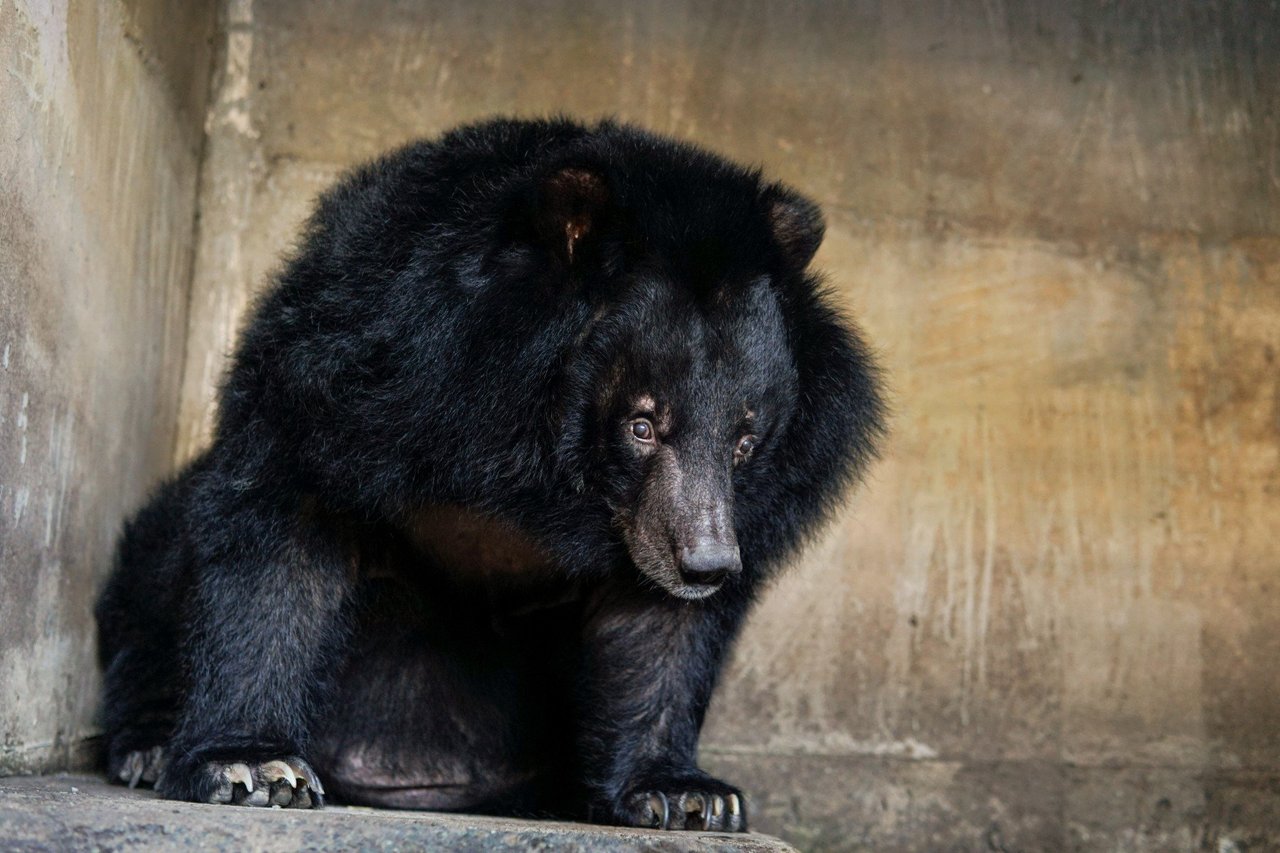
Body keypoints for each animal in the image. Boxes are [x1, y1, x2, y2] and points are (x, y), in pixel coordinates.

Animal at [97, 116, 880, 824]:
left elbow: (658, 628)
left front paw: (687, 794)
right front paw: (253, 768)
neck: (531, 458)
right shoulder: (362, 369)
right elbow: (285, 524)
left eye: (746, 440)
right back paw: (145, 748)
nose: (706, 565)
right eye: (642, 425)